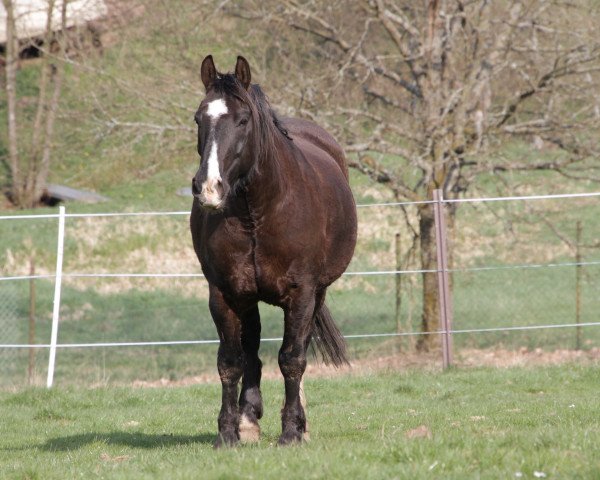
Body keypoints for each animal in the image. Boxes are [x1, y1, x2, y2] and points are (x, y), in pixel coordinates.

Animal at [190, 55, 356, 446]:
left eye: (242, 120)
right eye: (199, 118)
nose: (208, 187)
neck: (258, 213)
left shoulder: (303, 293)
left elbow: (292, 358)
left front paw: (292, 430)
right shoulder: (224, 293)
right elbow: (230, 361)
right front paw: (228, 432)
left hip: (317, 295)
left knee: (298, 349)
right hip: (248, 297)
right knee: (251, 350)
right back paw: (248, 419)